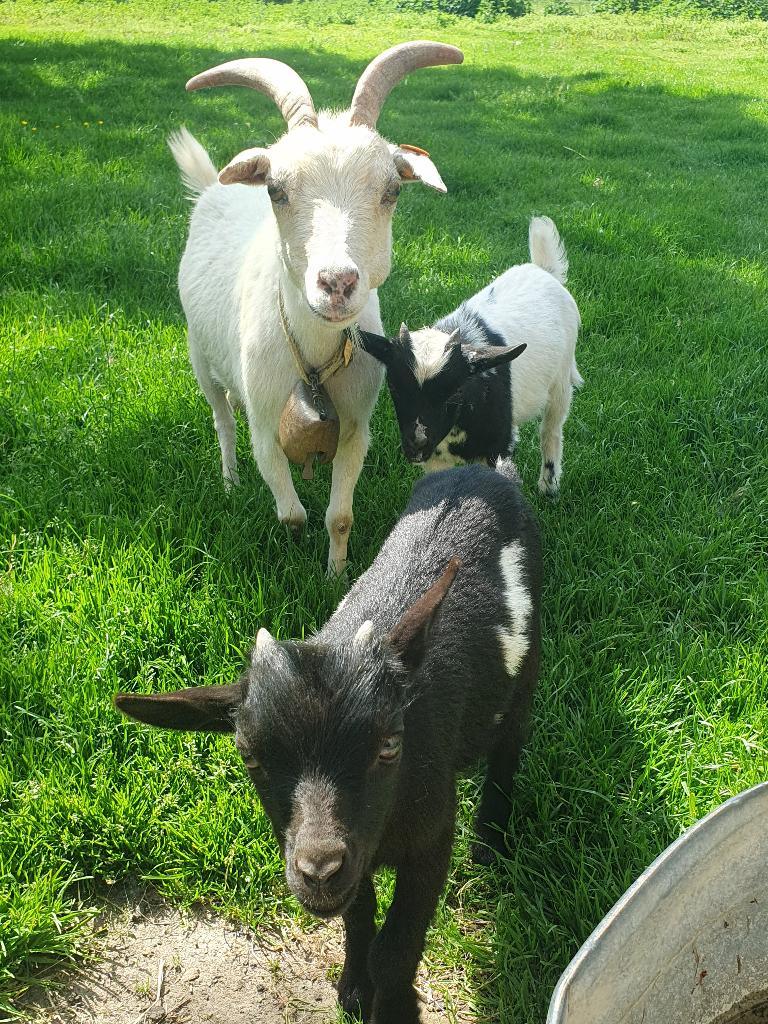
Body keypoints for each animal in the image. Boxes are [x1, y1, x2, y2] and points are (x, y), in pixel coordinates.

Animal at [115, 459, 542, 1024]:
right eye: (249, 756)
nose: (318, 871)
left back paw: (490, 842)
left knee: (509, 745)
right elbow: (360, 916)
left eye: (390, 745)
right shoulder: (355, 855)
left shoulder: (432, 835)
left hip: (529, 666)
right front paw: (354, 990)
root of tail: (481, 471)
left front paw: (396, 1008)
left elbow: (396, 947)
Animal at [167, 42, 463, 573]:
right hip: (198, 354)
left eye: (392, 190)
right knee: (223, 420)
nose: (337, 282)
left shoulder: (357, 424)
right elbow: (291, 515)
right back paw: (230, 480)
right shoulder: (265, 428)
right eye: (275, 190)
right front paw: (294, 557)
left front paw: (334, 573)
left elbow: (339, 516)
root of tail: (210, 188)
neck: (312, 351)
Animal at [359, 215, 582, 495]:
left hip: (561, 380)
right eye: (393, 387)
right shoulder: (437, 457)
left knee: (551, 429)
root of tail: (543, 270)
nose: (415, 447)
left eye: (455, 392)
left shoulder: (497, 445)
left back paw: (548, 486)